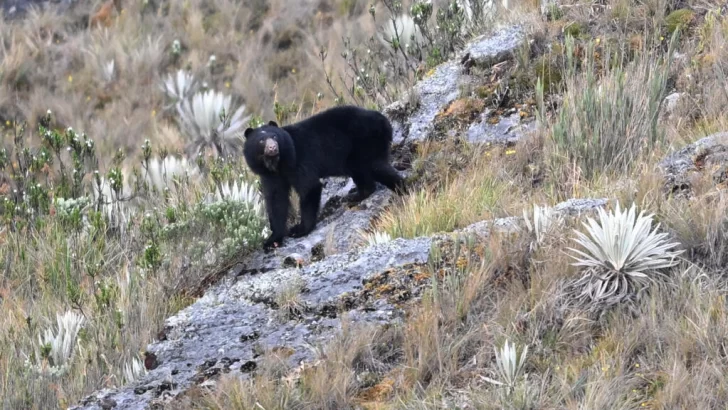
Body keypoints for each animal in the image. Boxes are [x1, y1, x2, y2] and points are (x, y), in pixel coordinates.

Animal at [243, 105, 404, 250]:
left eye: (274, 136)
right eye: (261, 141)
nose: (272, 148)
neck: (278, 164)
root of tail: (383, 119)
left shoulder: (299, 160)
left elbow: (309, 187)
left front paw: (299, 229)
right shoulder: (270, 175)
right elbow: (276, 200)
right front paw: (272, 241)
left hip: (365, 143)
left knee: (375, 167)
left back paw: (401, 187)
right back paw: (356, 196)